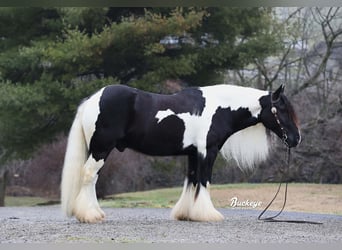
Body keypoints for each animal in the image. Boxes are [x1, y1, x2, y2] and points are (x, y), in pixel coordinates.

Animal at [60, 83, 300, 223]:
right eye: (282, 110)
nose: (296, 139)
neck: (220, 108)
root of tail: (91, 100)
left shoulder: (193, 153)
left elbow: (191, 181)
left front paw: (187, 214)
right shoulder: (207, 152)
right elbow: (204, 181)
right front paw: (208, 214)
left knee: (92, 178)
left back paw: (94, 213)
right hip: (101, 149)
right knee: (89, 176)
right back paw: (90, 215)